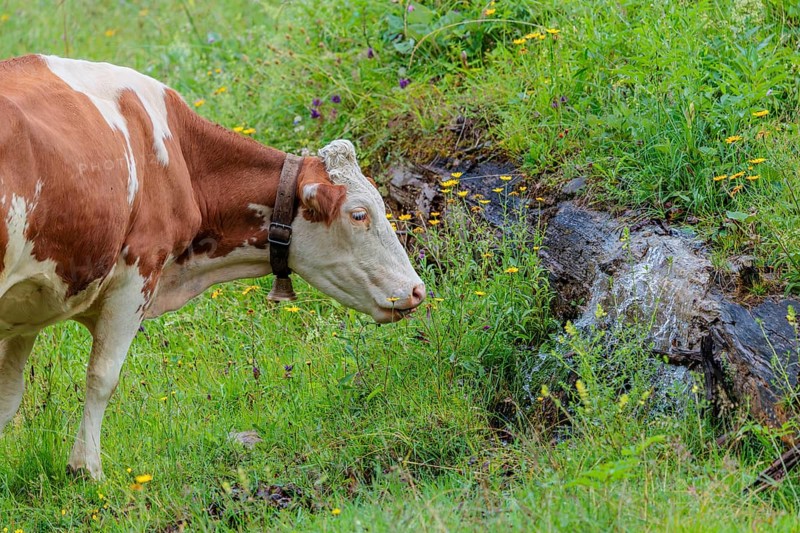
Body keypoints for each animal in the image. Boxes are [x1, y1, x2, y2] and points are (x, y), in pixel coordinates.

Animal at [0, 55, 425, 479]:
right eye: (359, 214)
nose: (417, 290)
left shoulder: (30, 307)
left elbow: (9, 393)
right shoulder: (138, 273)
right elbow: (102, 376)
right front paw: (86, 468)